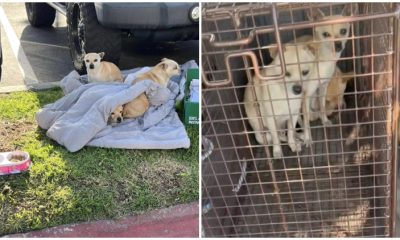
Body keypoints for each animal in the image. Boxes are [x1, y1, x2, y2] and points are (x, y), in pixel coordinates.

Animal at [203, 1, 396, 238]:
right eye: (325, 34)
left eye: (343, 31)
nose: (338, 45)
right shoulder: (303, 98)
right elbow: (303, 121)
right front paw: (306, 138)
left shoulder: (319, 90)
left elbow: (314, 112)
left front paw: (322, 122)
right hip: (261, 126)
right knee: (273, 134)